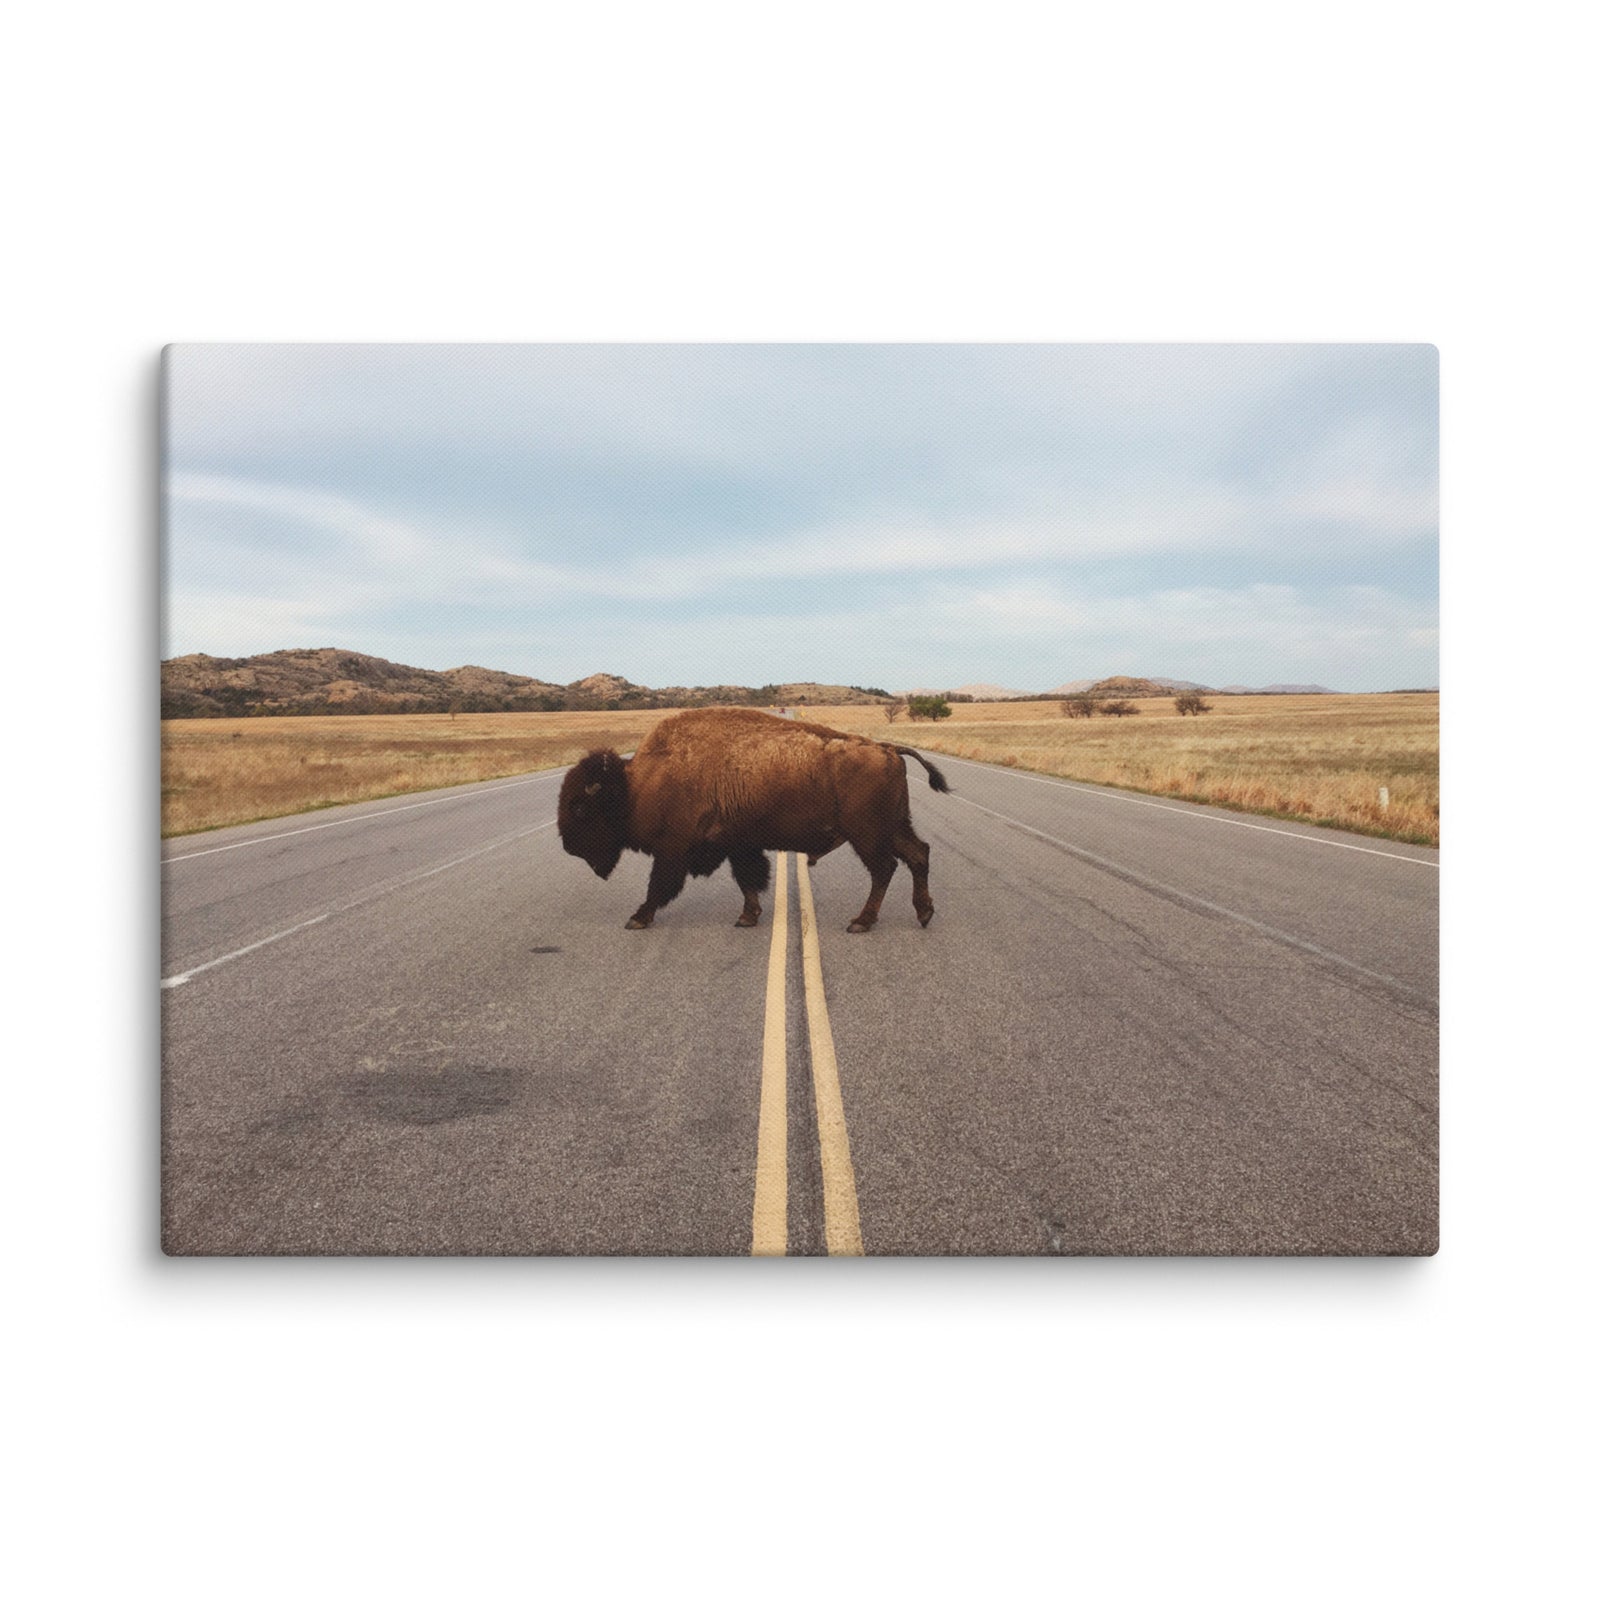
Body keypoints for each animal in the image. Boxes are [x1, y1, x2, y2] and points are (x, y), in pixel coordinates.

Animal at [556, 707, 950, 932]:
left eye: (579, 808)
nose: (568, 847)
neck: (637, 784)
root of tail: (887, 748)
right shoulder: (737, 845)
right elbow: (747, 880)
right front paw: (748, 917)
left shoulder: (673, 850)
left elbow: (658, 886)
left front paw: (637, 918)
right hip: (893, 828)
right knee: (918, 854)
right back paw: (924, 913)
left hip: (867, 835)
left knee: (884, 869)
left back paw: (861, 922)